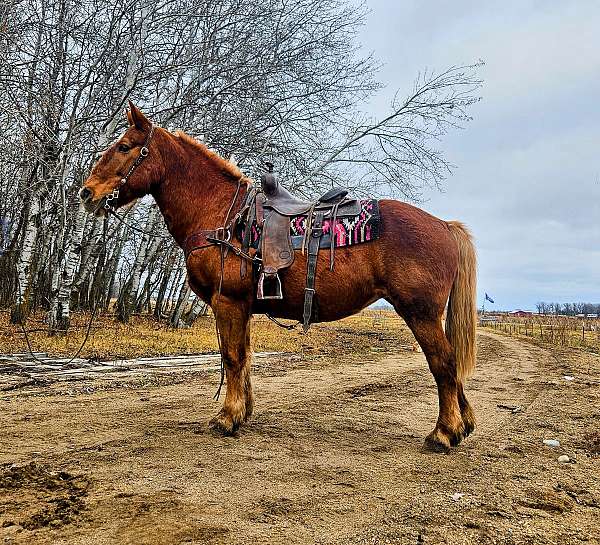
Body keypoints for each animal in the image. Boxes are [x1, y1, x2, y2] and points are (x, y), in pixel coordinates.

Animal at [81, 102, 478, 450]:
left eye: (125, 147)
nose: (87, 193)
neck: (223, 216)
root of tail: (444, 225)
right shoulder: (242, 307)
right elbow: (244, 357)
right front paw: (242, 413)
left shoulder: (227, 302)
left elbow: (232, 357)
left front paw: (226, 418)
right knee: (452, 365)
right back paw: (464, 424)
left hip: (420, 313)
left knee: (444, 363)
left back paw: (443, 433)